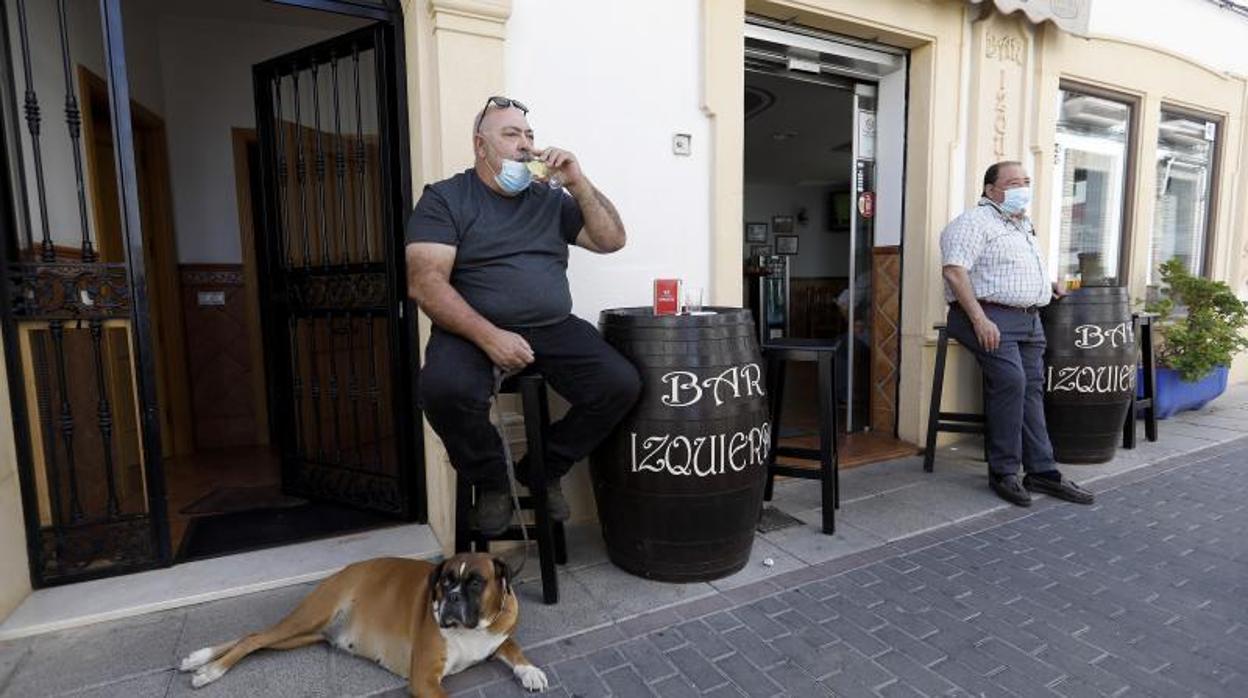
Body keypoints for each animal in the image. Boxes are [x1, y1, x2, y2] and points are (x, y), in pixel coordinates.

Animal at [178, 554, 549, 694]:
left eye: (475, 582)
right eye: (445, 581)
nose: (451, 598)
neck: (471, 630)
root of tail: (345, 570)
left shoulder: (498, 637)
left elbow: (513, 649)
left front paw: (530, 671)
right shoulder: (424, 679)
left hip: (303, 635)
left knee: (255, 637)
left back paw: (196, 658)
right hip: (309, 617)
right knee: (253, 639)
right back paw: (207, 670)